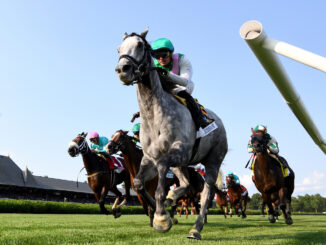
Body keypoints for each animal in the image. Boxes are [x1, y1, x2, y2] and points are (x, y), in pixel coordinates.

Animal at [114, 29, 227, 239]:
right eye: (119, 48)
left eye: (140, 45)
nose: (122, 69)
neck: (154, 116)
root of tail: (219, 121)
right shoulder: (149, 157)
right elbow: (139, 183)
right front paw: (162, 211)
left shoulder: (177, 151)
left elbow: (159, 185)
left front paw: (161, 218)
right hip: (181, 165)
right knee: (186, 183)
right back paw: (172, 198)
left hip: (213, 160)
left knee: (206, 193)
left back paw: (196, 229)